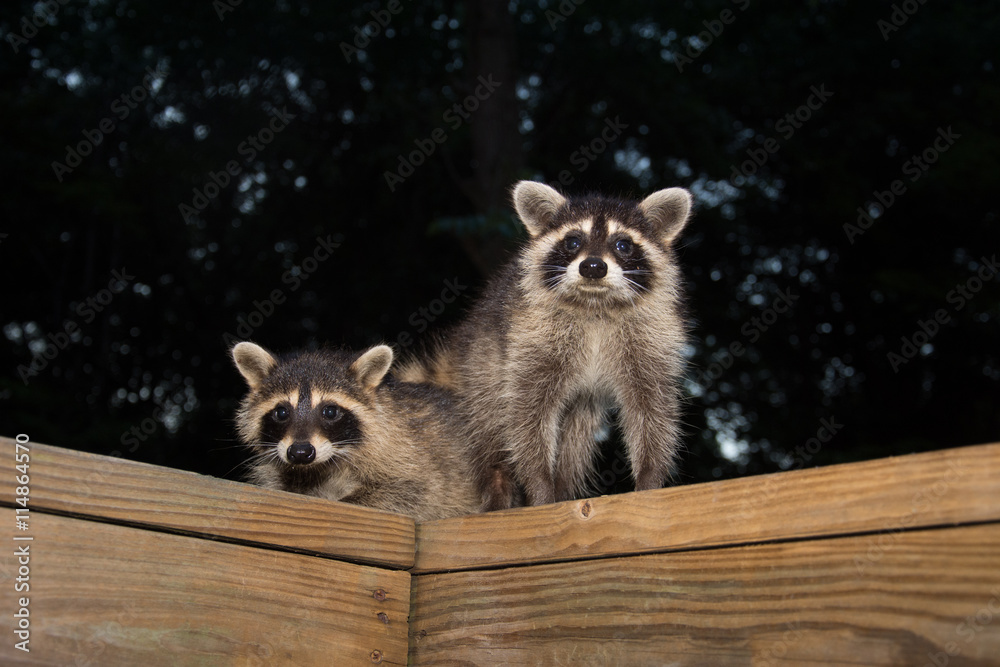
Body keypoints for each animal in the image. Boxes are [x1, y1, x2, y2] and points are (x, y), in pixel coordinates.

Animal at [399, 180, 693, 510]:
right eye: (573, 241)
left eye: (623, 245)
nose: (593, 267)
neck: (595, 305)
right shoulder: (530, 336)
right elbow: (528, 413)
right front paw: (539, 484)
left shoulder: (650, 340)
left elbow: (651, 408)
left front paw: (649, 477)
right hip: (484, 364)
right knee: (490, 423)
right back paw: (498, 487)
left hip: (580, 405)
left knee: (575, 442)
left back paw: (563, 486)